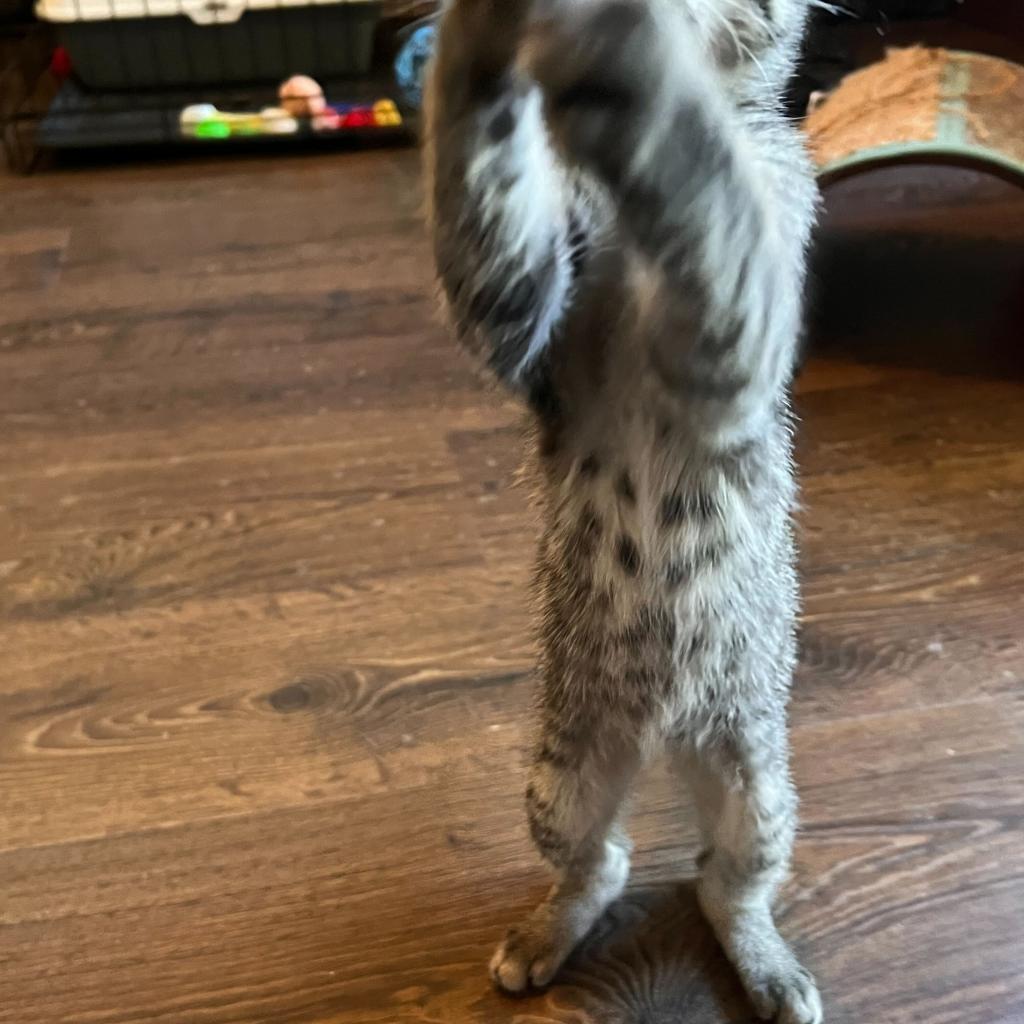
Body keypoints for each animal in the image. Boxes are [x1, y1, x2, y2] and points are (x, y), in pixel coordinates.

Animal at [423, 4, 823, 1019]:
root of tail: (664, 740)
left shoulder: (743, 335)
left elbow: (703, 181)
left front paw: (630, 63)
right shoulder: (524, 330)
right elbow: (484, 215)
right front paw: (476, 49)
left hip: (758, 780)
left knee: (726, 879)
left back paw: (769, 965)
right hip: (563, 773)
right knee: (601, 863)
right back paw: (544, 934)